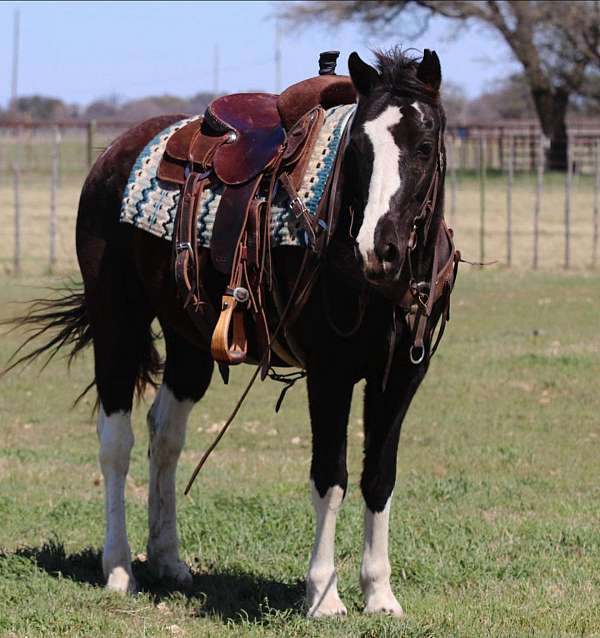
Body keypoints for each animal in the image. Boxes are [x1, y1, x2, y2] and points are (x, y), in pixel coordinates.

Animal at [7, 47, 454, 616]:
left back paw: (168, 560)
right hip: (116, 323)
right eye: (358, 147)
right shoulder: (329, 375)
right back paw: (119, 569)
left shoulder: (401, 376)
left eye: (424, 146)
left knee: (164, 436)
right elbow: (330, 478)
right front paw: (323, 596)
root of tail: (112, 155)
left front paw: (379, 594)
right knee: (116, 442)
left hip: (188, 343)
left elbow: (379, 477)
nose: (379, 249)